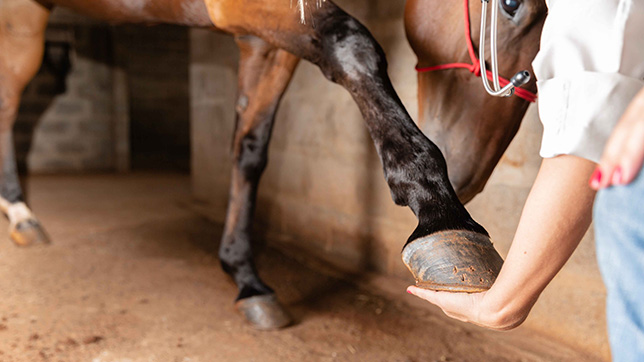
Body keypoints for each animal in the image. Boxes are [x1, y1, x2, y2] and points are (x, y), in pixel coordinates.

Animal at [0, 0, 544, 330]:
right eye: (511, 6)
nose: (467, 174)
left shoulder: (264, 42)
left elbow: (249, 150)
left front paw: (244, 275)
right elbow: (352, 44)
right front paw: (442, 216)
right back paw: (20, 213)